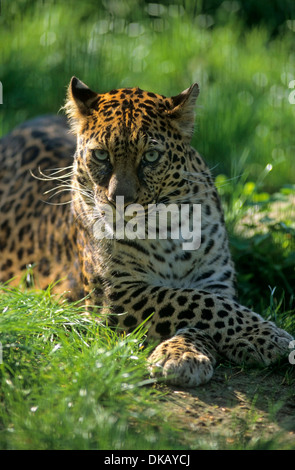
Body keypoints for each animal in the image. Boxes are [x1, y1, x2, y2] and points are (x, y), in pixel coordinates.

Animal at [0, 77, 294, 386]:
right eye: (101, 155)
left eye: (151, 156)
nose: (120, 200)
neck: (167, 228)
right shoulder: (115, 294)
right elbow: (193, 302)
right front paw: (268, 337)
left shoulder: (215, 281)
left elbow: (213, 307)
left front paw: (183, 353)